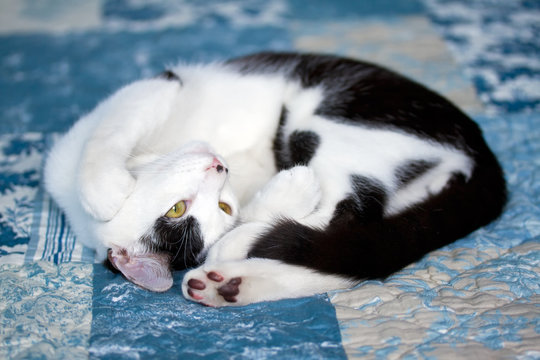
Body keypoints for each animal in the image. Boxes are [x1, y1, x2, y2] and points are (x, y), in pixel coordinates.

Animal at [43, 52, 506, 306]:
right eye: (178, 209)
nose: (218, 165)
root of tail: (481, 145)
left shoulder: (155, 89)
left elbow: (111, 131)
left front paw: (106, 191)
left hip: (326, 119)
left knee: (350, 217)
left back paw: (239, 248)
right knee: (359, 246)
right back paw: (228, 283)